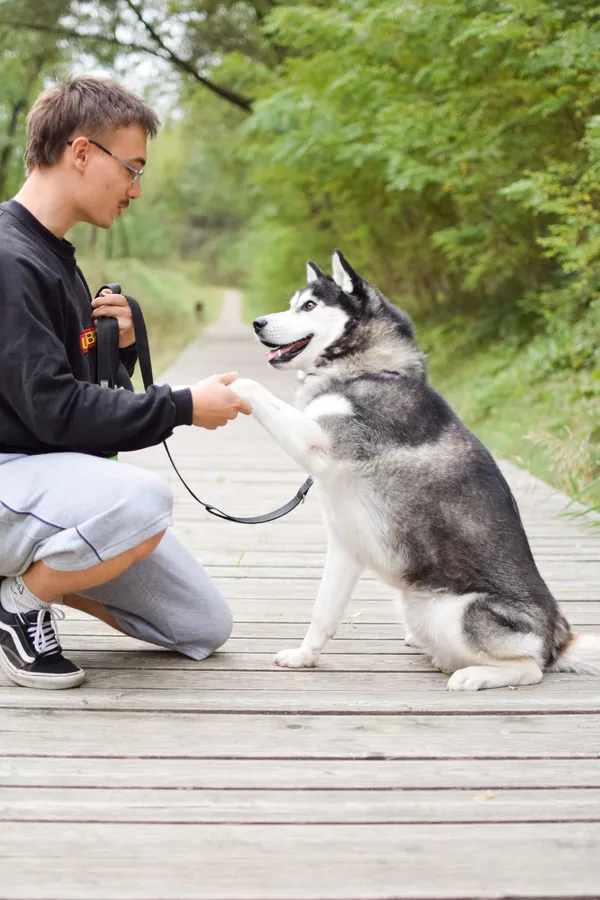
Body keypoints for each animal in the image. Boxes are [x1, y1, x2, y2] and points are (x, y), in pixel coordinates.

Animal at [227, 251, 596, 688]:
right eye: (292, 303)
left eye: (310, 306)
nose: (258, 323)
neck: (370, 369)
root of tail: (560, 637)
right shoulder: (345, 542)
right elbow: (323, 612)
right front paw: (304, 656)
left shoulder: (319, 442)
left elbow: (253, 387)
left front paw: (225, 387)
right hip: (416, 605)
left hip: (460, 612)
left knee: (531, 669)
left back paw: (472, 676)